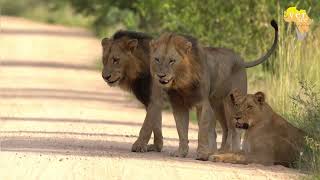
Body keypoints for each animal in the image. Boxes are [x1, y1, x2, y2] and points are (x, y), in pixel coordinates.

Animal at [150, 20, 278, 160]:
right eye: (157, 59)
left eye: (172, 61)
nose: (161, 75)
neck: (182, 82)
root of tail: (241, 60)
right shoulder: (178, 105)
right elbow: (181, 130)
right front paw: (181, 152)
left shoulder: (202, 103)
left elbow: (202, 131)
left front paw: (201, 154)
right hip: (217, 105)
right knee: (225, 129)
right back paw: (219, 151)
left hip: (231, 104)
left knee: (235, 130)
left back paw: (231, 152)